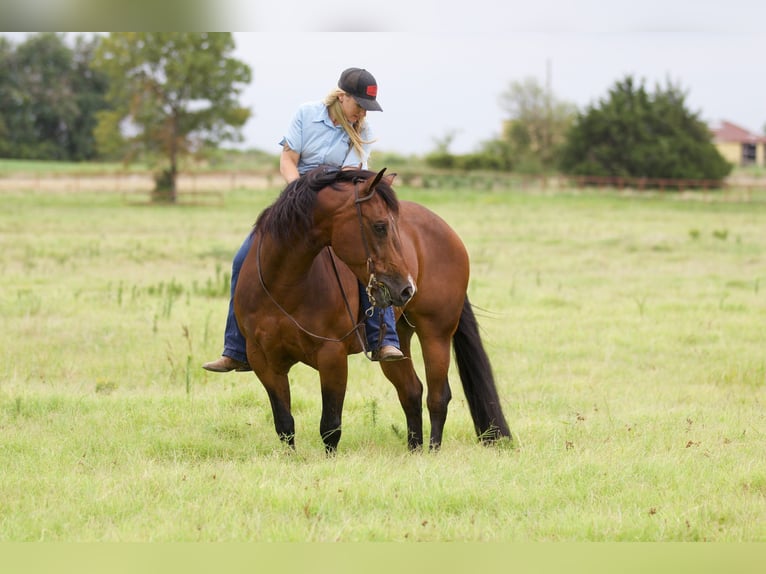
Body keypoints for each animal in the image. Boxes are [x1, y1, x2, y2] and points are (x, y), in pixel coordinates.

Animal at [234, 166, 510, 454]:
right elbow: (284, 424)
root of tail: (448, 232)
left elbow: (330, 426)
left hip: (436, 333)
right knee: (411, 391)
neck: (285, 285)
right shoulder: (264, 362)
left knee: (438, 396)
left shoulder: (332, 357)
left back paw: (433, 451)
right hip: (397, 341)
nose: (407, 288)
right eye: (380, 226)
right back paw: (414, 451)